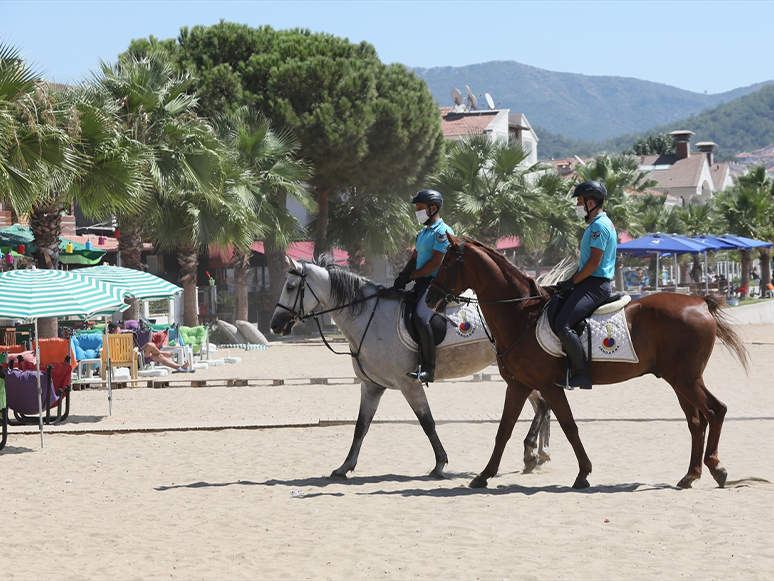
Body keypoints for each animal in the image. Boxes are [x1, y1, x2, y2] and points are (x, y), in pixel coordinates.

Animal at [270, 256, 548, 478]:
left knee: (542, 404)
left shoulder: (408, 383)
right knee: (542, 405)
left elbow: (427, 422)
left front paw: (440, 464)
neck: (371, 318)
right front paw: (344, 466)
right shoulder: (371, 386)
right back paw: (534, 454)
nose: (274, 325)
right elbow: (361, 427)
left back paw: (534, 452)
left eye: (290, 287)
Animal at [424, 236, 752, 490]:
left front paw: (583, 473)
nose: (428, 299)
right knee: (697, 422)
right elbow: (503, 430)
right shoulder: (518, 386)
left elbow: (570, 427)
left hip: (685, 379)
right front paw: (484, 475)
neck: (520, 314)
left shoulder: (549, 386)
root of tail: (700, 303)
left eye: (447, 263)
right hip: (679, 380)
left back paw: (716, 468)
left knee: (715, 411)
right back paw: (690, 475)